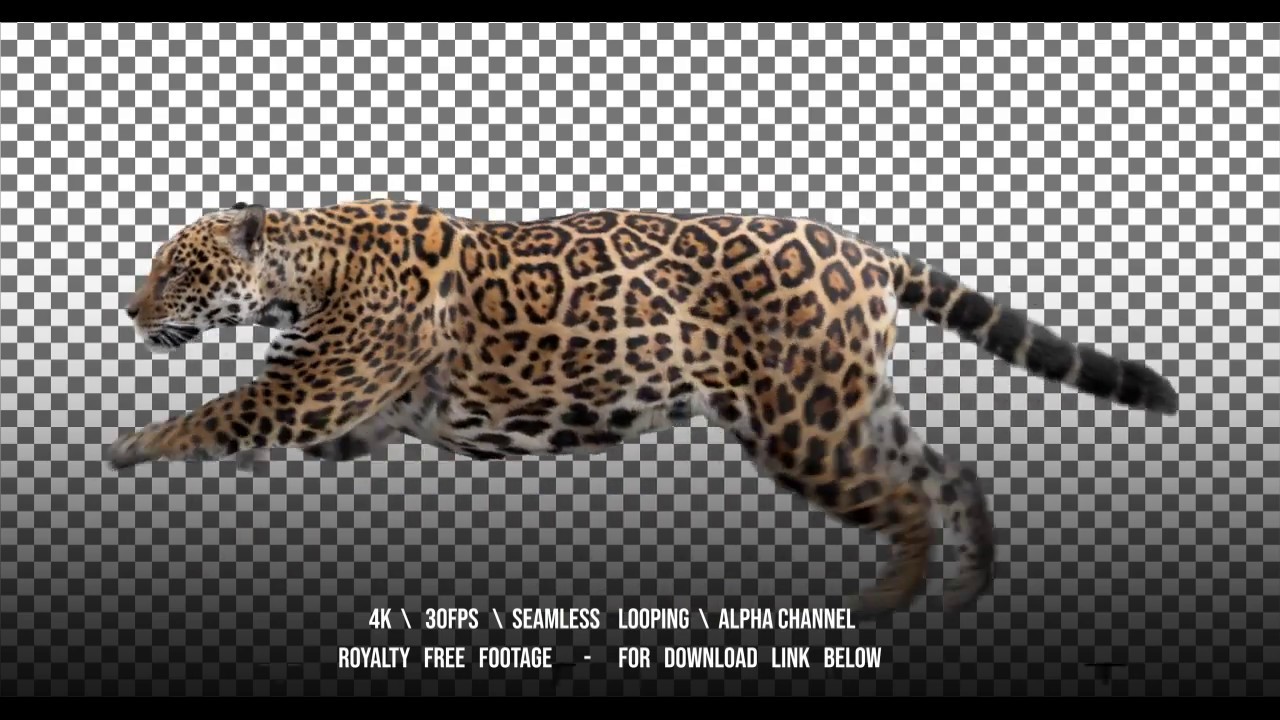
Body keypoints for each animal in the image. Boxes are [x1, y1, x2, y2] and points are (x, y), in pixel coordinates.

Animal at [108, 198, 1180, 616]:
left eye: (178, 271)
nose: (129, 309)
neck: (307, 261)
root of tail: (867, 250)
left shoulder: (309, 389)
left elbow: (213, 413)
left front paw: (130, 450)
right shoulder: (347, 417)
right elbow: (245, 426)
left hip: (804, 427)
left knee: (910, 495)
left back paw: (890, 599)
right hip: (844, 409)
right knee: (948, 467)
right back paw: (968, 586)